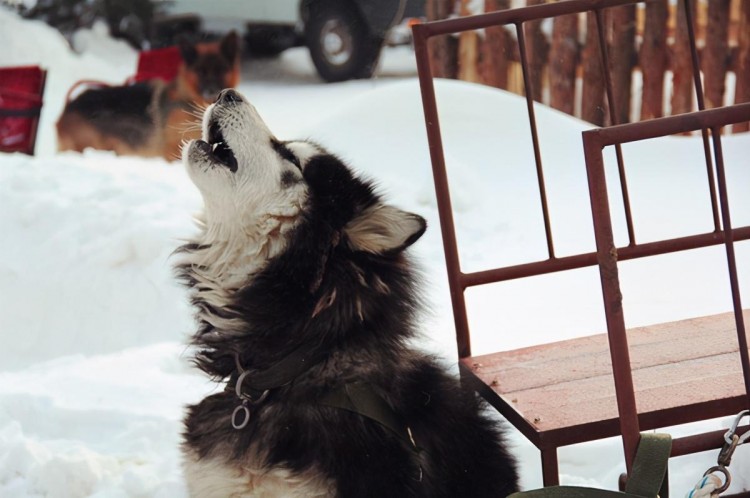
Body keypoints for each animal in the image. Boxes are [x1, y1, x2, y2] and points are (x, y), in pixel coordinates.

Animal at [58, 32, 241, 160]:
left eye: (221, 70)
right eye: (200, 71)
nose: (212, 91)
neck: (189, 100)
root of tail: (67, 107)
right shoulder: (173, 151)